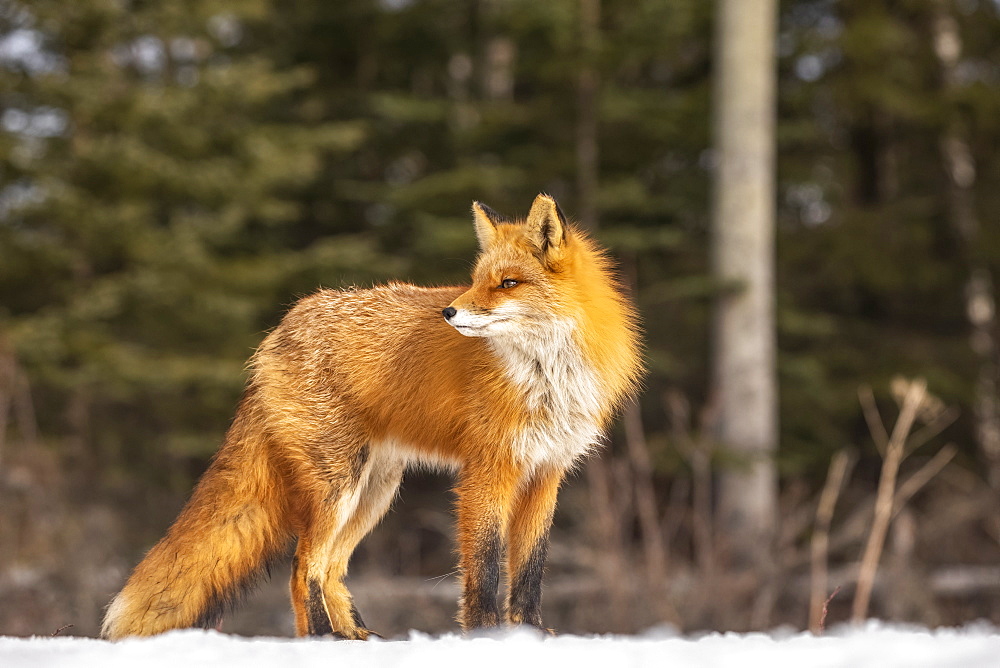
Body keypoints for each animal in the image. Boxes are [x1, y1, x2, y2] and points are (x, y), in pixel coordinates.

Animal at [101, 193, 644, 636]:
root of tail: (279, 328)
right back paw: (324, 640)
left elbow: (530, 571)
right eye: (475, 282)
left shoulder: (546, 472)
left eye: (508, 283)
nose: (449, 312)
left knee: (331, 569)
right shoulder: (488, 470)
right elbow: (485, 568)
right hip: (337, 487)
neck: (546, 377)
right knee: (303, 567)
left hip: (375, 491)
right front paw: (487, 636)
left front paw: (531, 636)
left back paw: (357, 637)